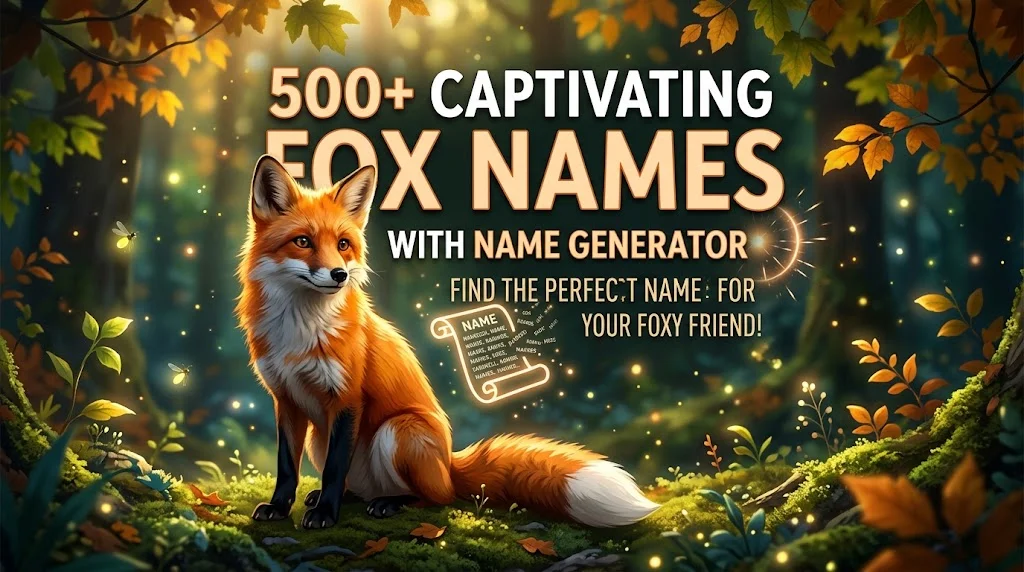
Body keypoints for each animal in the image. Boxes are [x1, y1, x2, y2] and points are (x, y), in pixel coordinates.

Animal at [236, 155, 660, 529]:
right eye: (303, 241)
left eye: (343, 244)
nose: (339, 275)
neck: (300, 330)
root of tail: (449, 465)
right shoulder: (286, 399)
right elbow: (287, 467)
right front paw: (280, 507)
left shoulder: (347, 398)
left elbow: (333, 470)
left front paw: (325, 514)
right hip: (321, 439)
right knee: (360, 485)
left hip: (399, 430)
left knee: (437, 498)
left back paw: (391, 503)